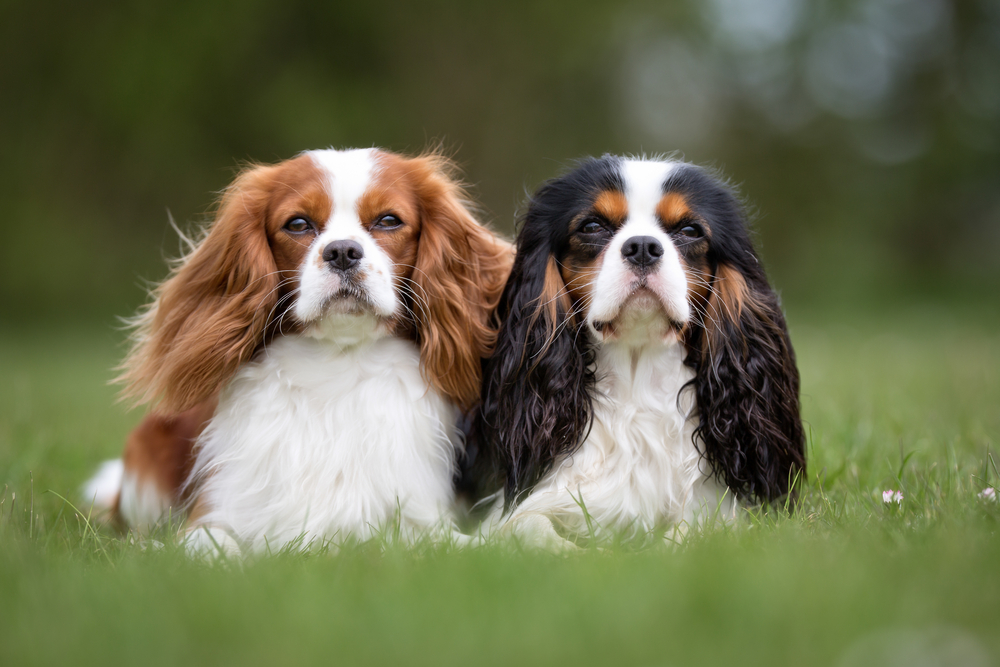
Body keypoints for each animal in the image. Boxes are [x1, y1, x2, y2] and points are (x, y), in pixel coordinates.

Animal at [84, 149, 516, 556]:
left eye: (389, 221)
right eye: (297, 224)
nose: (342, 251)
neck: (338, 365)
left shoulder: (418, 519)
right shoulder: (215, 514)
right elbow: (208, 545)